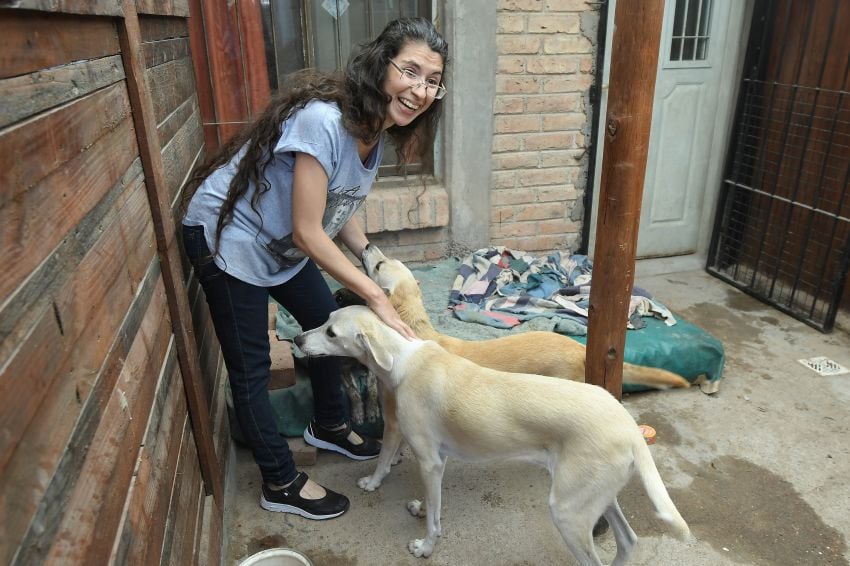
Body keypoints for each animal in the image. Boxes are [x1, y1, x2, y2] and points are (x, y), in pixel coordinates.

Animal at [292, 308, 688, 564]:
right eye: (324, 321)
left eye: (331, 333)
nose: (296, 338)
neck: (403, 360)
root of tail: (626, 424)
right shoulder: (438, 459)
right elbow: (433, 505)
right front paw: (421, 508)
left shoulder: (429, 461)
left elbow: (429, 513)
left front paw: (425, 547)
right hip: (595, 496)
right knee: (628, 541)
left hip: (568, 512)